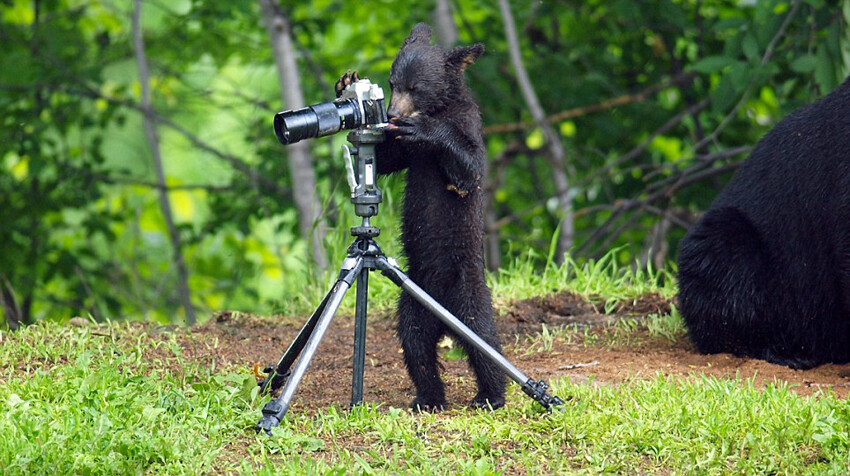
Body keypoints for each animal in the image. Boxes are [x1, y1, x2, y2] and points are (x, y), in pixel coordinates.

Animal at [338, 22, 504, 410]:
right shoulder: (408, 153)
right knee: (414, 343)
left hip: (467, 290)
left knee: (483, 339)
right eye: (393, 82)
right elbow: (385, 159)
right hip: (413, 301)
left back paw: (490, 394)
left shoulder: (467, 124)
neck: (439, 107)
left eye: (415, 87)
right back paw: (428, 397)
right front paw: (345, 84)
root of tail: (443, 320)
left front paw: (425, 129)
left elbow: (468, 172)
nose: (393, 115)